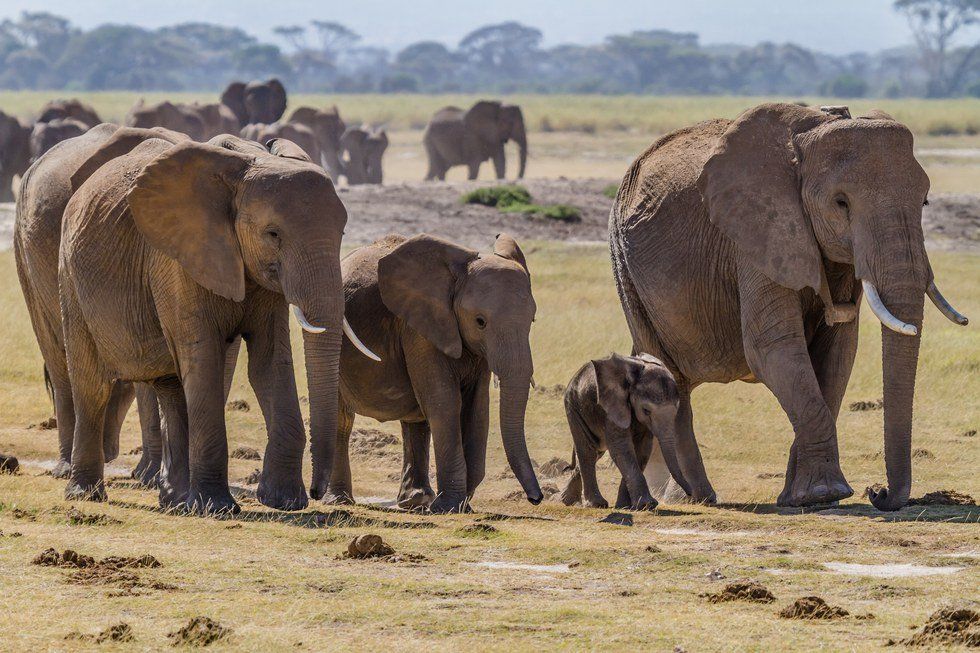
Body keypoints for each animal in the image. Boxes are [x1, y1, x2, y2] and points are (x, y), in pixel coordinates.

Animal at [54, 130, 377, 514]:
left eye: (342, 234)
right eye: (273, 234)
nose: (317, 492)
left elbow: (270, 363)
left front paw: (284, 501)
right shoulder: (177, 260)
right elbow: (204, 356)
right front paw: (217, 507)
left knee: (172, 386)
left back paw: (175, 501)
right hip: (70, 276)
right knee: (92, 382)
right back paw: (86, 493)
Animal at [329, 233, 543, 513]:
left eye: (532, 320)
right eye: (480, 321)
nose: (536, 499)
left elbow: (477, 408)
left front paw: (460, 504)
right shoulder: (419, 327)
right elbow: (444, 402)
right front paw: (449, 506)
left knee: (416, 418)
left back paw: (415, 501)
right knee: (342, 418)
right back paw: (339, 499)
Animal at [559, 353, 692, 511]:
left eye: (676, 409)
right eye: (646, 410)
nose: (690, 494)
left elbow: (642, 450)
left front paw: (625, 506)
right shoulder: (612, 407)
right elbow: (621, 448)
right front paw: (647, 505)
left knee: (596, 452)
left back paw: (568, 500)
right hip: (574, 406)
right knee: (588, 450)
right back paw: (596, 504)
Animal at [608, 103, 969, 511]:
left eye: (924, 201)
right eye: (841, 203)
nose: (878, 492)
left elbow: (837, 353)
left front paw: (804, 498)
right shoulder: (757, 233)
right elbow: (774, 349)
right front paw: (825, 494)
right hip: (625, 265)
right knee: (669, 376)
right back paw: (698, 497)